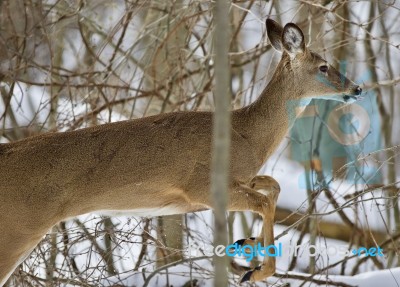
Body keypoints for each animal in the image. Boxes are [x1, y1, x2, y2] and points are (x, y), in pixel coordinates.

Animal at [0, 19, 362, 286]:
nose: (358, 88)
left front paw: (245, 244)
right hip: (18, 226)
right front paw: (256, 270)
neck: (245, 134)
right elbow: (264, 200)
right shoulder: (201, 186)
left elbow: (273, 186)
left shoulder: (237, 180)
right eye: (324, 66)